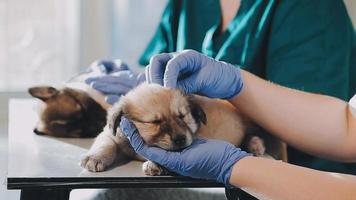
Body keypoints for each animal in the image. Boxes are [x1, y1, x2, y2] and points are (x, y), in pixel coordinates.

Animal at [80, 83, 286, 175]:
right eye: (155, 121)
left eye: (182, 116)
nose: (180, 139)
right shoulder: (111, 135)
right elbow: (105, 144)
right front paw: (94, 158)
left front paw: (155, 164)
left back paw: (257, 145)